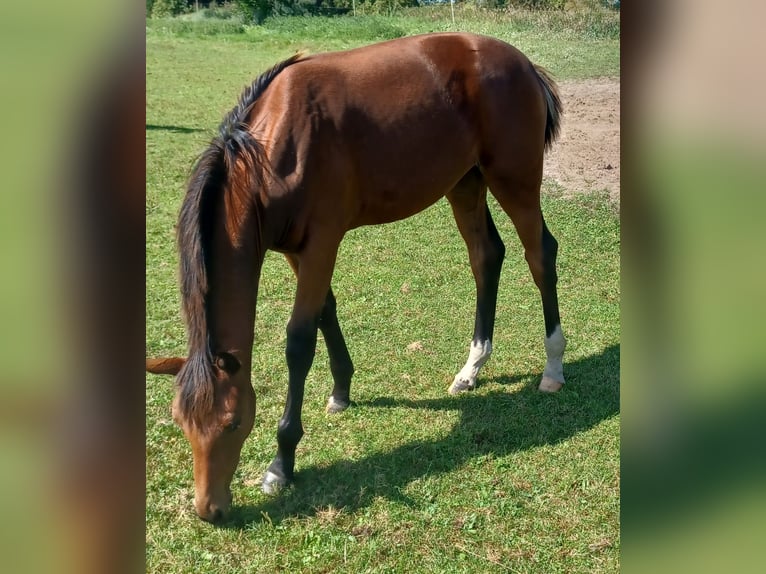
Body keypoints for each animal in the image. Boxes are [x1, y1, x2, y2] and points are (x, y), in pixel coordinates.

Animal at [147, 32, 568, 528]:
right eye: (180, 422)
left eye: (232, 422)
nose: (208, 509)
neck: (271, 152)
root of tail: (524, 63)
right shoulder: (296, 250)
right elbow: (326, 311)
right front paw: (342, 390)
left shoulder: (321, 244)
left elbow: (299, 340)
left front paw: (281, 462)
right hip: (465, 182)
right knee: (486, 257)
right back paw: (471, 369)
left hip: (514, 180)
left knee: (540, 256)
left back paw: (553, 367)